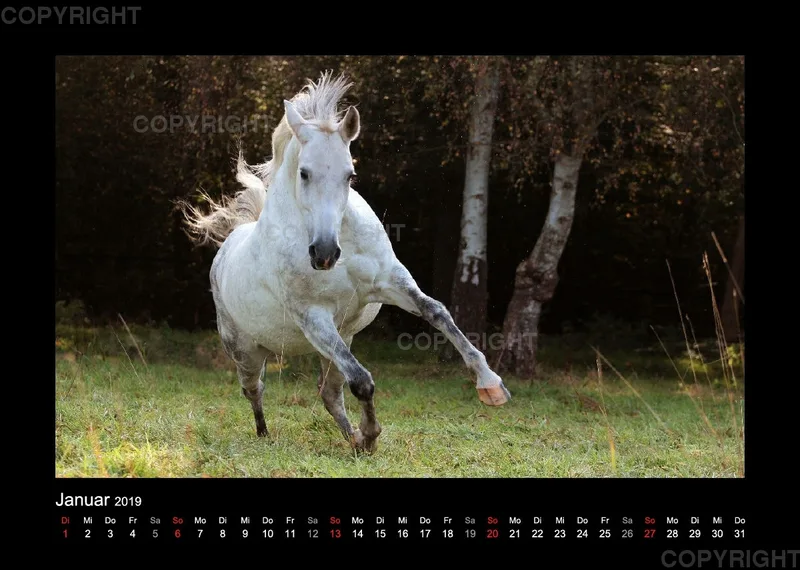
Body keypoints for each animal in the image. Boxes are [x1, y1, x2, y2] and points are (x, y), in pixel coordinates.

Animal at [181, 72, 510, 453]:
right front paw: (370, 435)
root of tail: (228, 245)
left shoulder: (389, 283)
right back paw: (268, 436)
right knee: (255, 389)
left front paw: (491, 385)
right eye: (304, 173)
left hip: (342, 338)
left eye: (349, 175)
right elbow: (363, 381)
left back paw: (350, 437)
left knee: (329, 393)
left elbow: (438, 313)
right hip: (248, 350)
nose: (324, 254)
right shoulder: (313, 317)